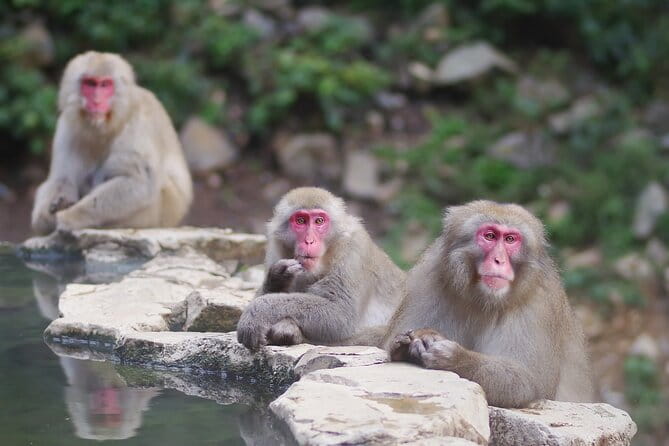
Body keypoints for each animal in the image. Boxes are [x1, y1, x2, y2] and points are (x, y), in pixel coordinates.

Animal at [31, 51, 193, 235]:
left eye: (105, 85)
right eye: (90, 84)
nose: (96, 101)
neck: (109, 124)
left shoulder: (139, 123)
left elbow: (139, 182)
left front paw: (71, 215)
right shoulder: (66, 126)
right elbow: (61, 178)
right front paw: (46, 217)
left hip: (163, 212)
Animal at [236, 187, 405, 349]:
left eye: (319, 221)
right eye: (301, 220)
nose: (309, 241)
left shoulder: (354, 250)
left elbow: (340, 315)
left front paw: (257, 312)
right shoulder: (275, 250)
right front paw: (278, 277)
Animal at [385, 200, 594, 408]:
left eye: (510, 239)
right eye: (490, 236)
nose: (498, 260)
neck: (482, 299)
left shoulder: (541, 300)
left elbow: (527, 383)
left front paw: (455, 358)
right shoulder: (428, 275)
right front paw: (415, 339)